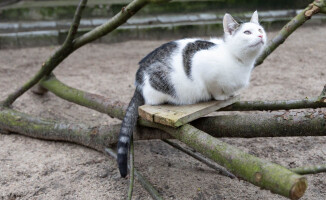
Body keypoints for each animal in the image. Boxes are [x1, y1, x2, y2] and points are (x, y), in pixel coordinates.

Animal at [117, 10, 268, 177]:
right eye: (247, 32)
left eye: (260, 30)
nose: (260, 36)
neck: (239, 61)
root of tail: (139, 77)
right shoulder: (202, 63)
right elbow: (215, 89)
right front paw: (222, 96)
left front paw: (230, 94)